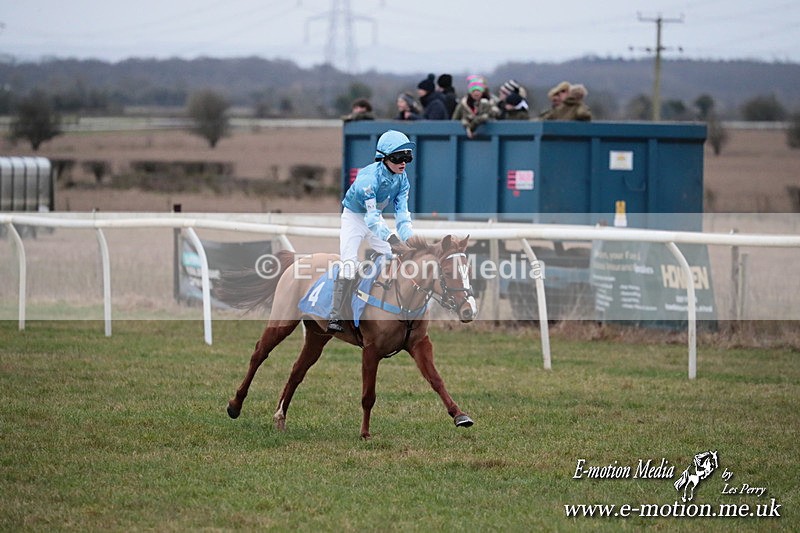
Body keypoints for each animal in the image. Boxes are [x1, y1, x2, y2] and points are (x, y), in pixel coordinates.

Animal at [217, 234, 478, 439]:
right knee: (259, 354)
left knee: (297, 371)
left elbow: (436, 380)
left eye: (468, 271)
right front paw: (365, 433)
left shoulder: (419, 344)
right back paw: (235, 405)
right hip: (282, 321)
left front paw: (460, 415)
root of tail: (298, 260)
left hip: (318, 335)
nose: (469, 310)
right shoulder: (371, 350)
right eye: (447, 272)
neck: (402, 297)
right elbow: (368, 395)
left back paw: (280, 417)